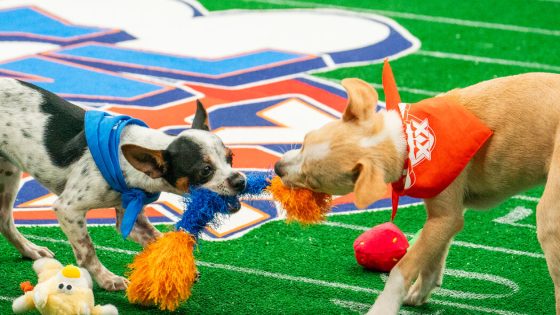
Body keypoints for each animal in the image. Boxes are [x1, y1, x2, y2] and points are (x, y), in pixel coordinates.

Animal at [276, 73, 560, 314]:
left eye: (313, 181)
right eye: (305, 139)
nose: (277, 168)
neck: (408, 140)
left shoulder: (447, 217)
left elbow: (402, 268)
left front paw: (384, 307)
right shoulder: (444, 216)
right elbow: (433, 256)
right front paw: (420, 293)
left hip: (548, 217)